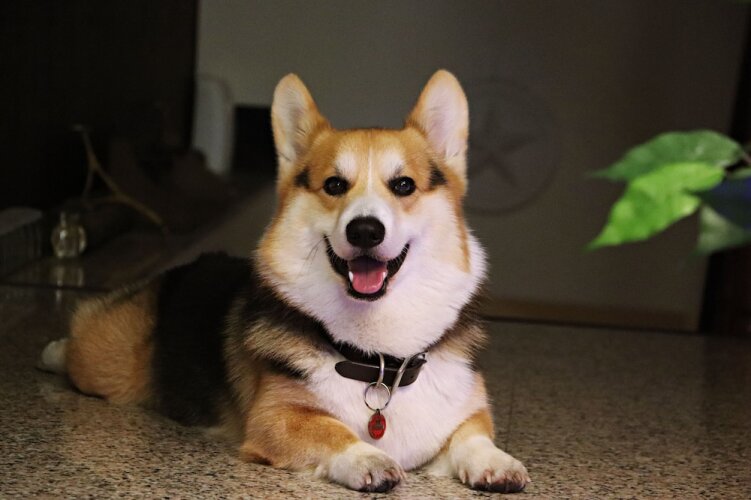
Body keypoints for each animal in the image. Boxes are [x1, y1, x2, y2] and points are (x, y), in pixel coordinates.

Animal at [39, 70, 530, 493]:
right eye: (334, 185)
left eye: (404, 185)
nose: (365, 230)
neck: (379, 362)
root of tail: (182, 269)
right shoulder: (274, 416)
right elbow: (332, 430)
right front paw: (367, 458)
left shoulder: (463, 410)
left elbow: (474, 436)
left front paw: (496, 461)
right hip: (109, 365)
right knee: (82, 337)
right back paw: (53, 350)